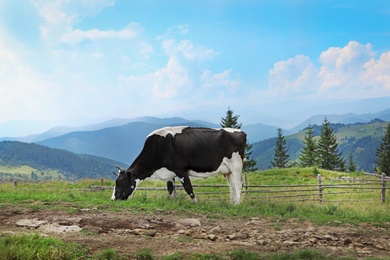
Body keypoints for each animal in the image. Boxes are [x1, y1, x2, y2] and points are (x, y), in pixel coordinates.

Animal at [111, 126, 247, 205]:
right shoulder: (169, 173)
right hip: (228, 170)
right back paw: (231, 203)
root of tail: (241, 131)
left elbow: (188, 188)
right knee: (231, 185)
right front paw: (172, 202)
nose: (113, 199)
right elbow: (170, 188)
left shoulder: (180, 169)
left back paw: (238, 204)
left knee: (238, 184)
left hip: (236, 165)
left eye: (120, 183)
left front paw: (195, 203)